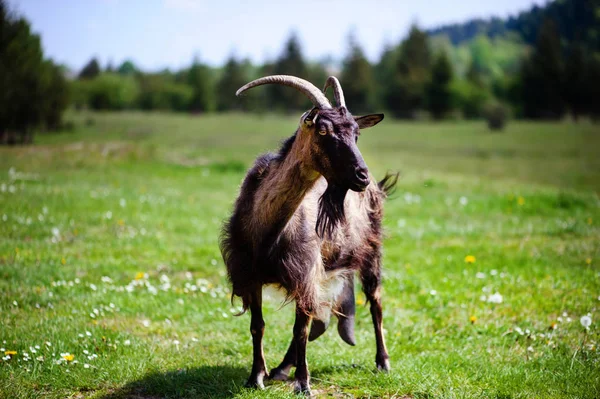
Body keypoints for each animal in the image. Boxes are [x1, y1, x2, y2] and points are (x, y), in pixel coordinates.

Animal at [220, 76, 398, 396]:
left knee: (375, 302)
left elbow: (300, 329)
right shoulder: (251, 274)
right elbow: (258, 325)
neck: (268, 231)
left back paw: (383, 362)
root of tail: (379, 187)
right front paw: (256, 376)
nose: (361, 176)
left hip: (370, 252)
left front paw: (303, 384)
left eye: (356, 134)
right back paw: (280, 368)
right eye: (323, 130)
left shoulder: (303, 271)